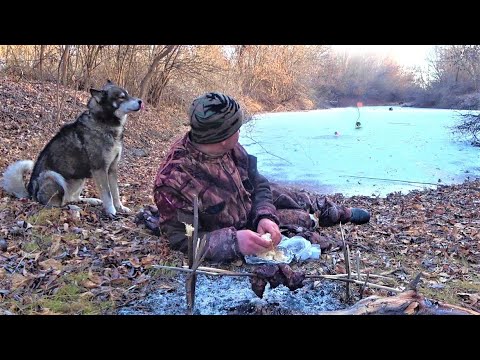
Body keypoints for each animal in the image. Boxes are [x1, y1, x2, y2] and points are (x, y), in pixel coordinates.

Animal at [1, 81, 142, 217]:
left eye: (128, 94)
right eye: (122, 97)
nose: (141, 101)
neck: (103, 122)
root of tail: (30, 194)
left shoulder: (112, 169)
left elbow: (115, 192)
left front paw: (120, 207)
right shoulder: (100, 170)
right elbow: (107, 194)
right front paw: (111, 211)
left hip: (80, 179)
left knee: (72, 198)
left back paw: (90, 200)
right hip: (52, 176)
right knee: (56, 205)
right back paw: (72, 208)